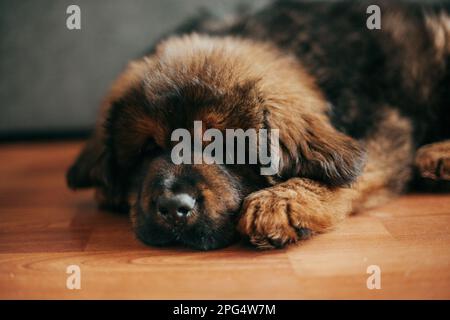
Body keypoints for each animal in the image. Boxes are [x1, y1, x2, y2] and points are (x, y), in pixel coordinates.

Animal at [67, 0, 450, 250]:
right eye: (149, 149)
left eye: (223, 146)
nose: (174, 208)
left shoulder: (385, 124)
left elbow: (347, 172)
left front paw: (281, 202)